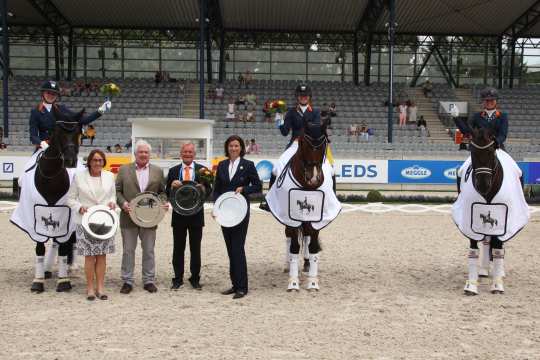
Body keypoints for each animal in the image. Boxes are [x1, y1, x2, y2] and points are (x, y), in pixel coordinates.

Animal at [29, 107, 83, 292]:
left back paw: (72, 267)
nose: (71, 161)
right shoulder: (36, 214)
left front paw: (63, 280)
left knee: (67, 242)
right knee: (54, 243)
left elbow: (64, 246)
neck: (51, 177)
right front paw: (38, 281)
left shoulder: (65, 214)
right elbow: (40, 247)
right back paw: (46, 269)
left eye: (78, 132)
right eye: (58, 132)